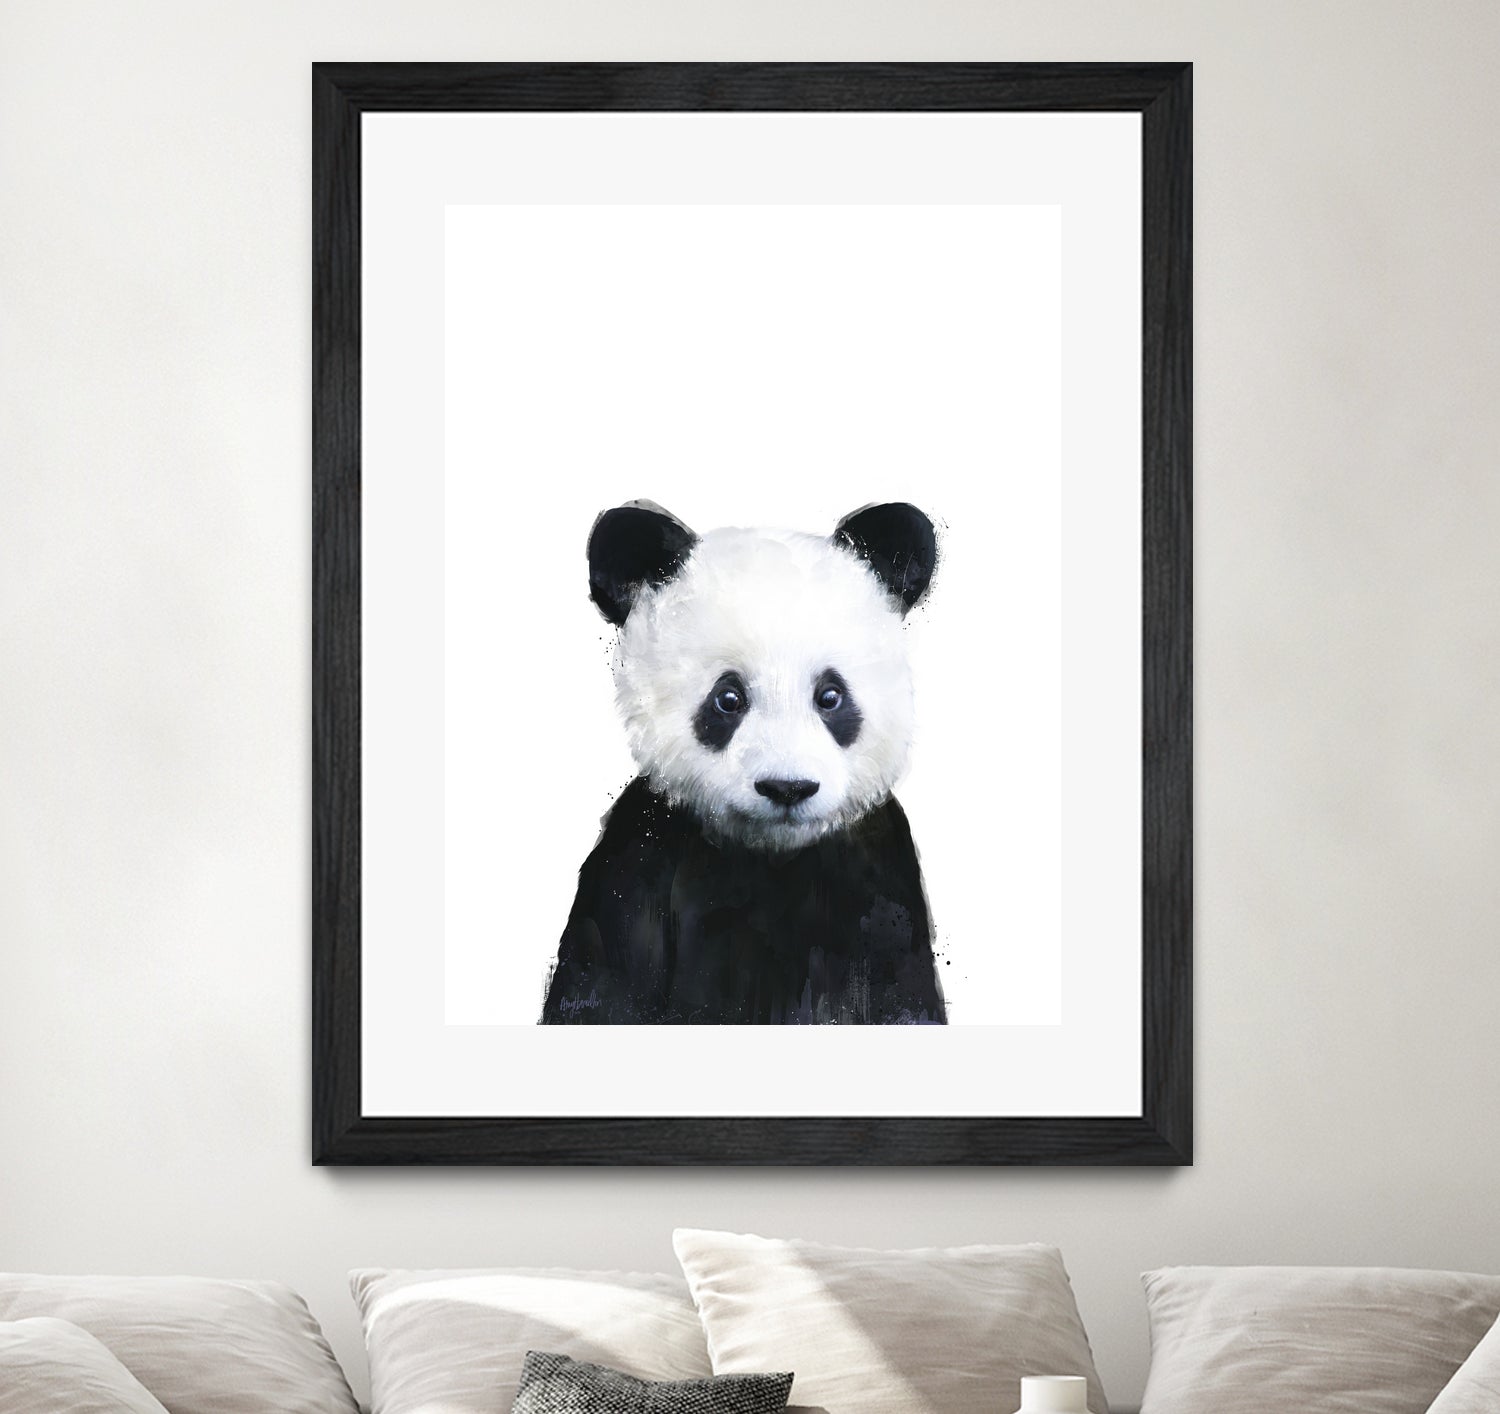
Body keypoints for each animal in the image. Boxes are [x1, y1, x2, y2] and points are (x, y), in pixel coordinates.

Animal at [539, 500, 947, 1026]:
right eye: (728, 698)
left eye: (830, 696)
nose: (787, 788)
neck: (770, 855)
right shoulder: (639, 860)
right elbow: (602, 984)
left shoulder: (878, 879)